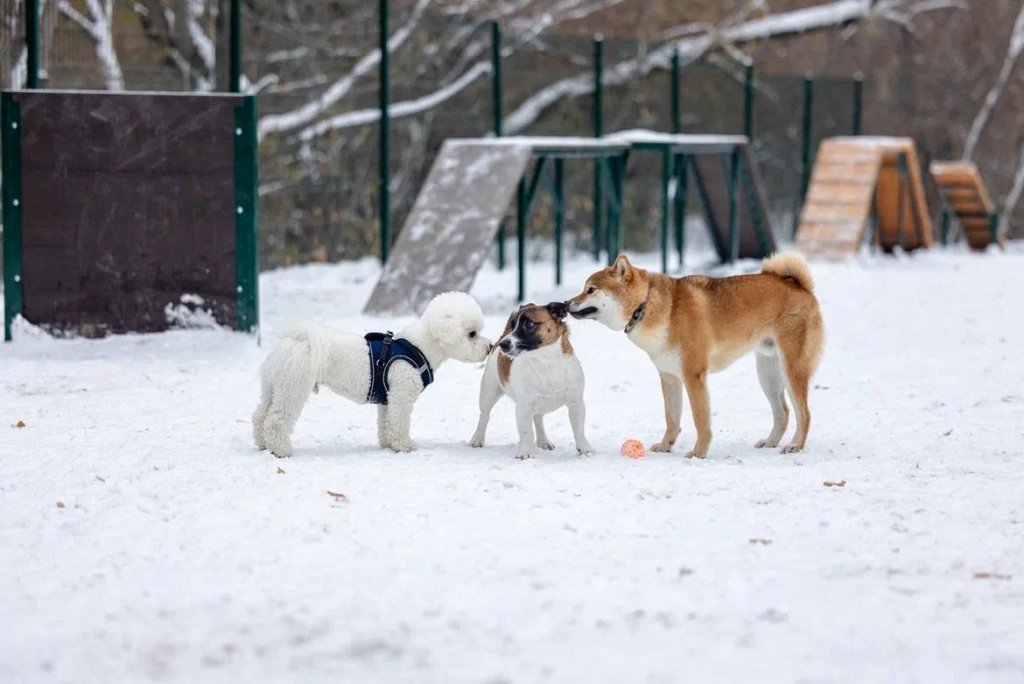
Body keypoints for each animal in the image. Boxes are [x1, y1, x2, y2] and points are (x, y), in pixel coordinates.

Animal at [252, 290, 491, 456]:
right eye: (472, 334)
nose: (489, 347)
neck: (419, 347)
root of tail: (295, 340)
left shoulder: (388, 399)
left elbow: (387, 424)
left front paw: (388, 445)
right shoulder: (402, 396)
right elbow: (399, 423)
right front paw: (404, 446)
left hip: (272, 386)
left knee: (260, 416)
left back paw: (263, 443)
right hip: (292, 388)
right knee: (276, 419)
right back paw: (280, 449)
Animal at [569, 253, 823, 456]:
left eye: (590, 289)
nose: (566, 302)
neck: (646, 305)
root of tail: (800, 287)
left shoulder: (693, 376)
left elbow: (700, 420)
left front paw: (699, 453)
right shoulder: (669, 378)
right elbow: (671, 418)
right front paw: (666, 446)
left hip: (791, 369)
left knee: (805, 414)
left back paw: (795, 445)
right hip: (768, 374)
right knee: (783, 412)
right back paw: (770, 442)